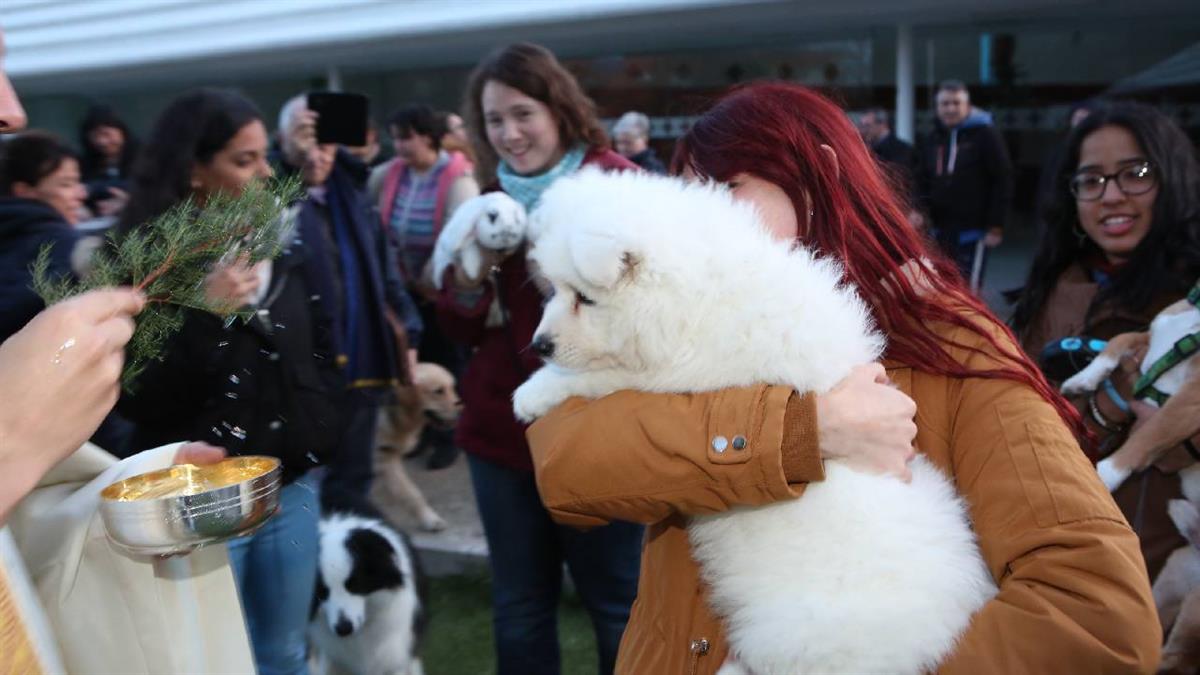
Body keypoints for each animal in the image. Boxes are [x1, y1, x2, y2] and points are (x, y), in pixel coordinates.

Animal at [513, 169, 993, 672]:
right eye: (553, 291)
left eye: (585, 299)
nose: (539, 344)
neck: (697, 293)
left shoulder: (676, 376)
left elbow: (599, 377)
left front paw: (532, 392)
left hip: (804, 642)